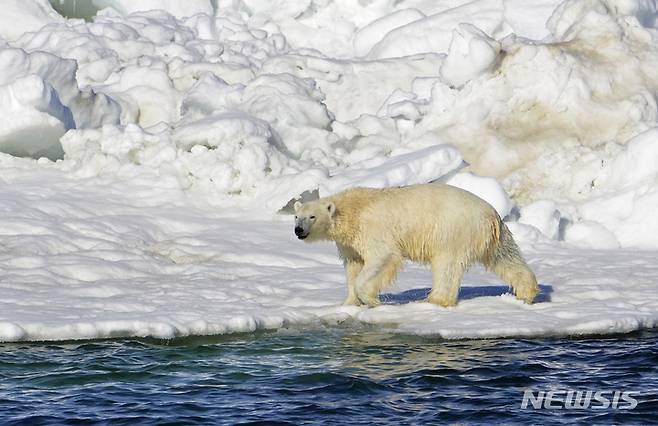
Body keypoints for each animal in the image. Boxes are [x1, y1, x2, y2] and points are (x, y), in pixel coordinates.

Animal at [294, 183, 540, 306]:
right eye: (297, 216)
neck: (352, 210)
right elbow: (354, 265)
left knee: (447, 265)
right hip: (493, 236)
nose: (298, 230)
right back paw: (527, 293)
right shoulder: (349, 242)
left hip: (453, 231)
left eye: (312, 217)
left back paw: (434, 299)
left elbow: (383, 257)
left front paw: (370, 299)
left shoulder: (373, 229)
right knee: (506, 258)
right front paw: (349, 303)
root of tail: (491, 214)